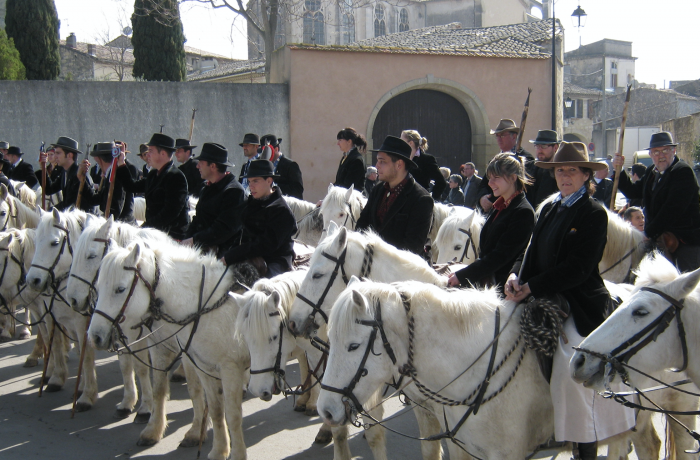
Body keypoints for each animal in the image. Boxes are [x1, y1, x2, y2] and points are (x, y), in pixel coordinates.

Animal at [91, 241, 253, 460]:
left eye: (120, 289)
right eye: (98, 287)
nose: (95, 336)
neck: (207, 310)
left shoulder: (229, 369)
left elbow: (232, 414)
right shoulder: (202, 367)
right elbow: (215, 408)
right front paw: (218, 450)